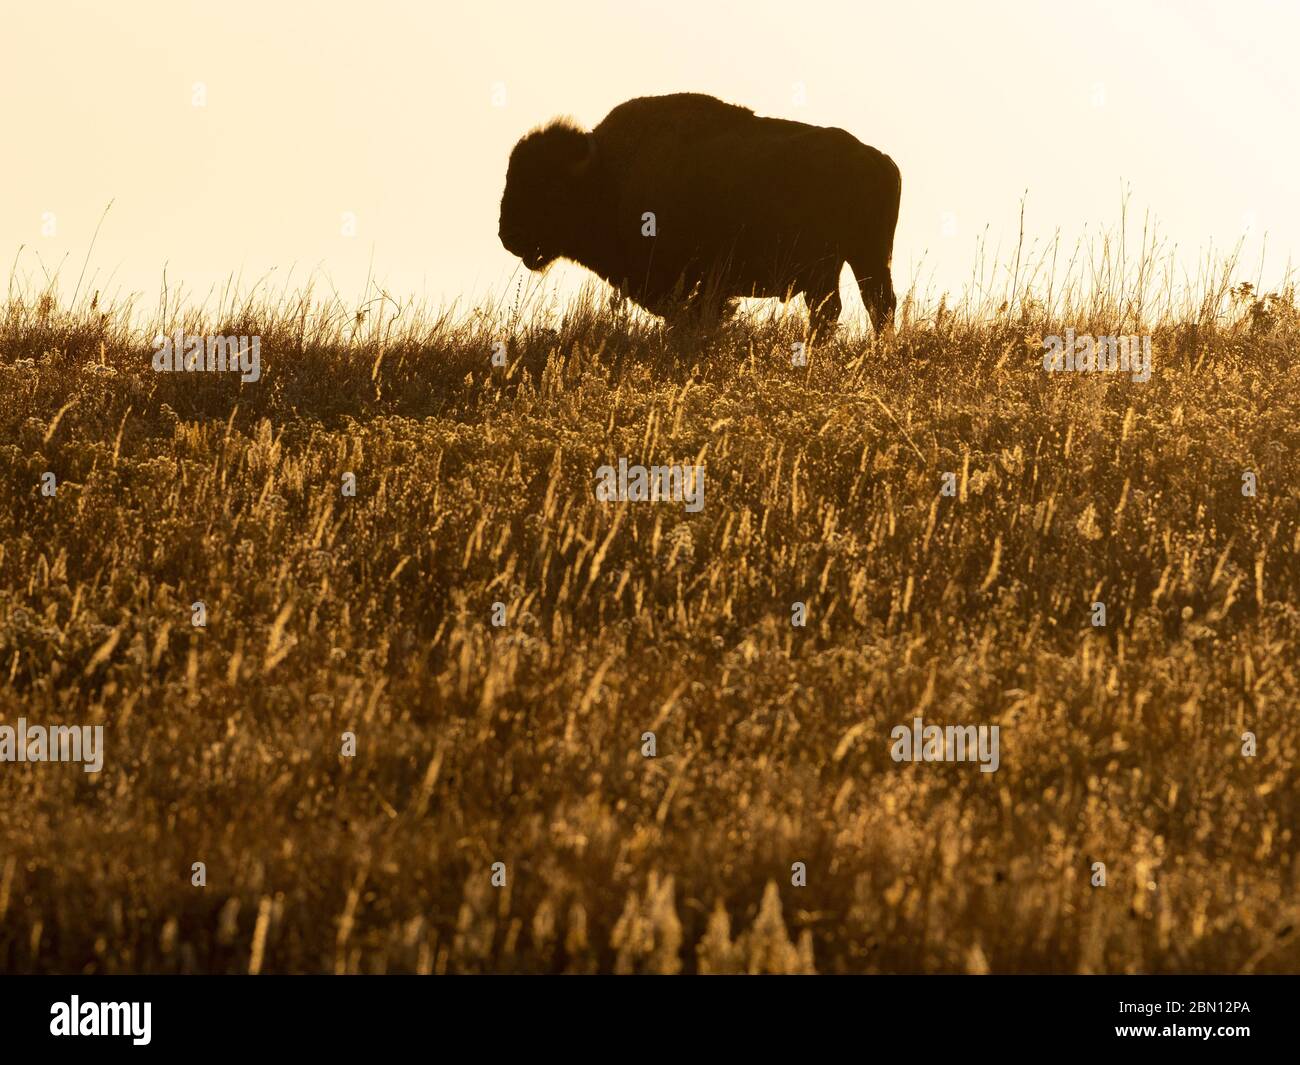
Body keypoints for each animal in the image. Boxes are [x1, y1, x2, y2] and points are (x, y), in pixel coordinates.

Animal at [499, 93, 900, 333]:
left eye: (546, 188)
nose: (507, 234)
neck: (609, 175)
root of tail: (877, 158)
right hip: (857, 262)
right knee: (868, 305)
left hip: (839, 265)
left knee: (850, 308)